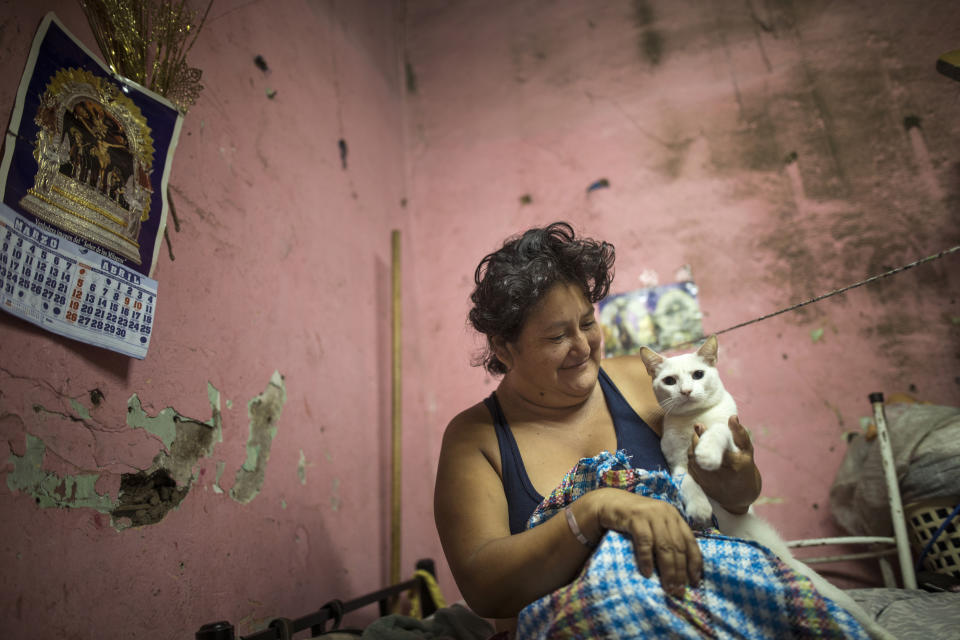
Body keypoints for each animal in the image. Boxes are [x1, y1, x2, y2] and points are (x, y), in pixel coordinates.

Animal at [640, 336, 896, 640]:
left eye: (698, 374)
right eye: (670, 380)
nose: (686, 391)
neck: (693, 421)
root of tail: (781, 553)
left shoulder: (733, 437)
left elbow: (717, 431)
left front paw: (707, 452)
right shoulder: (677, 465)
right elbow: (688, 482)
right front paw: (700, 508)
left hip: (837, 595)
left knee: (868, 622)